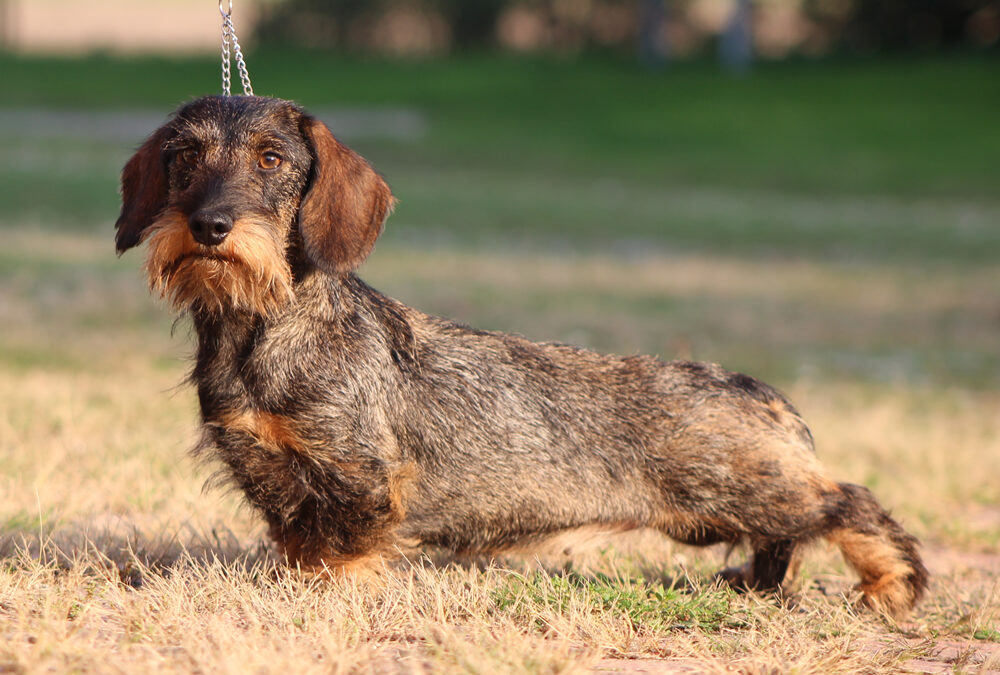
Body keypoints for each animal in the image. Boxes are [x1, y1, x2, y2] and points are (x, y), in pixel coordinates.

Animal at [113, 95, 924, 616]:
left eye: (272, 157)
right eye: (183, 157)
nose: (210, 225)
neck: (261, 326)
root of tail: (760, 392)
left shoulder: (359, 476)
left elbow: (343, 548)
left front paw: (337, 593)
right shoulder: (278, 477)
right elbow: (298, 543)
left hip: (746, 486)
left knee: (847, 500)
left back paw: (892, 585)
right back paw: (757, 585)